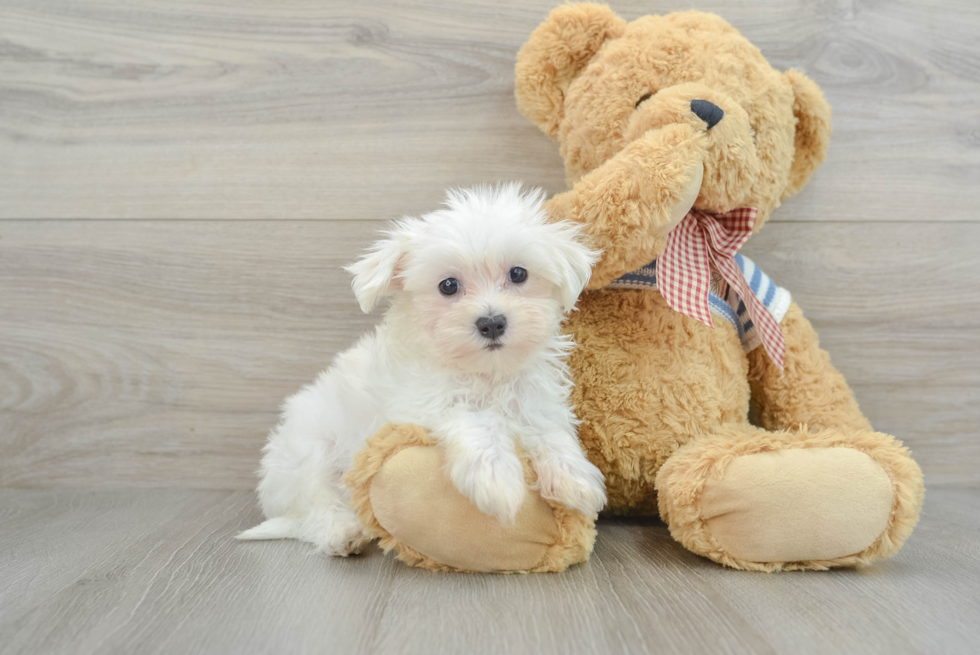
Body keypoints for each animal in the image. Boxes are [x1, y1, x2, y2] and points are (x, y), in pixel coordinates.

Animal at [237, 186, 604, 560]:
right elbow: (478, 418)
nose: (491, 323)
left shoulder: (534, 402)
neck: (486, 374)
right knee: (316, 505)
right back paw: (342, 532)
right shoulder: (418, 405)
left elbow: (548, 431)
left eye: (518, 274)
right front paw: (496, 476)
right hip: (307, 453)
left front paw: (575, 478)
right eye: (448, 286)